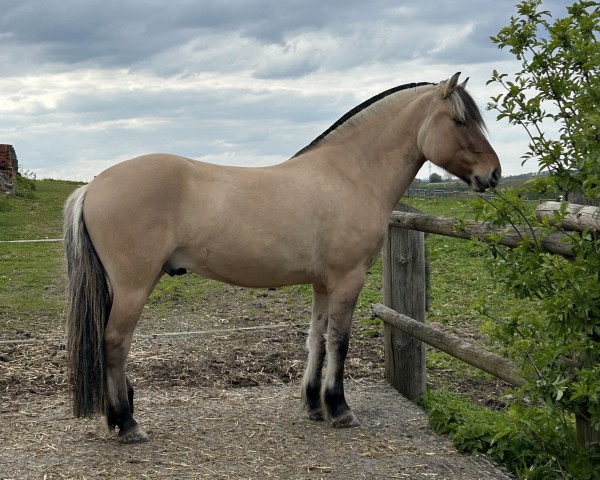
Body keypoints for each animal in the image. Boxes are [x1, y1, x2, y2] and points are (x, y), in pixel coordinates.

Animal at [63, 73, 502, 444]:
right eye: (459, 121)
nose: (494, 174)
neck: (349, 175)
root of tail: (93, 186)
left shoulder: (323, 283)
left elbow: (316, 339)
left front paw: (313, 405)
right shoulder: (348, 279)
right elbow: (340, 341)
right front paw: (340, 409)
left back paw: (118, 418)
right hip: (134, 286)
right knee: (115, 342)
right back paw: (128, 424)